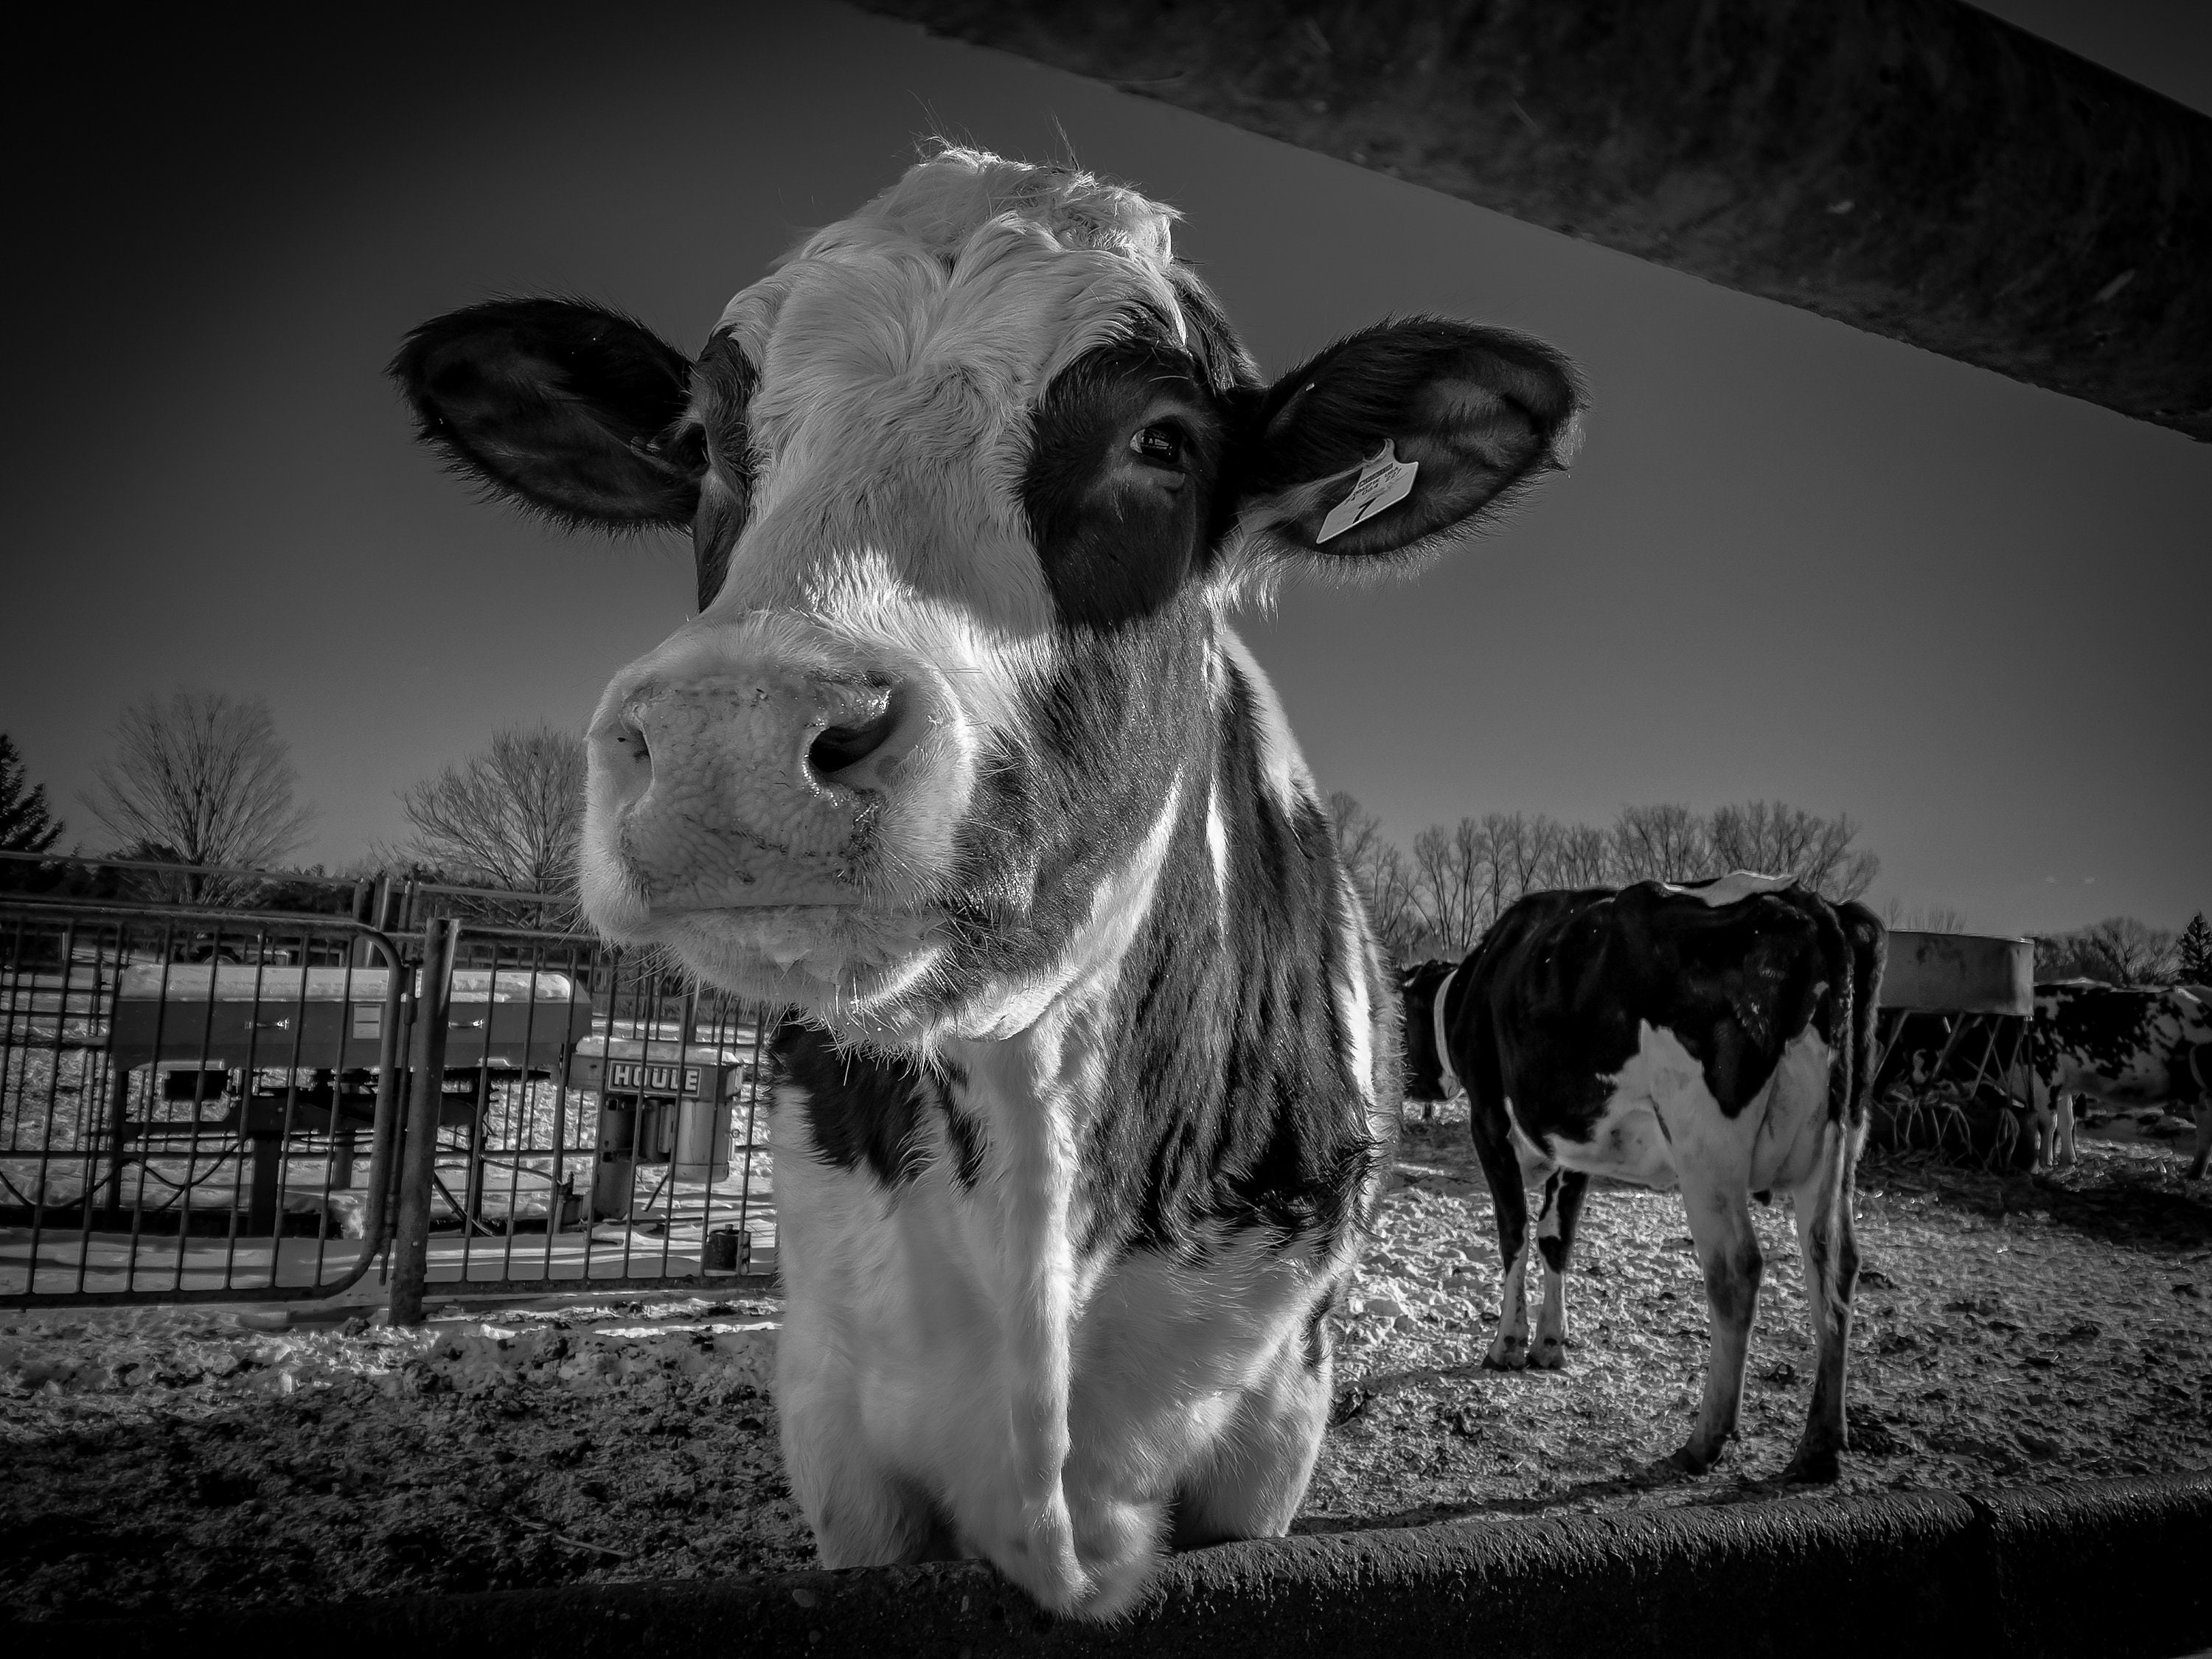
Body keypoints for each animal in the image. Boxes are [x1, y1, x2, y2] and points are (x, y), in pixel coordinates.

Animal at [1409, 872, 1883, 1482]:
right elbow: (1557, 1239)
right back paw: (1819, 1446)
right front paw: (1550, 1342)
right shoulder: (1577, 1138)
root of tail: (1812, 905)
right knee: (1834, 1259)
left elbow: (1513, 1232)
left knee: (1736, 1269)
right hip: (1837, 1144)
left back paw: (1705, 1440)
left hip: (1706, 1144)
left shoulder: (1489, 1118)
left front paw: (1507, 1344)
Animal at [2030, 981, 2212, 1177]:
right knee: (2205, 1127)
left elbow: (2047, 1123)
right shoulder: (2065, 1086)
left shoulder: (2045, 1075)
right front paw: (2067, 1162)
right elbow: (2066, 1122)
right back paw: (2195, 1173)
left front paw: (2043, 1164)